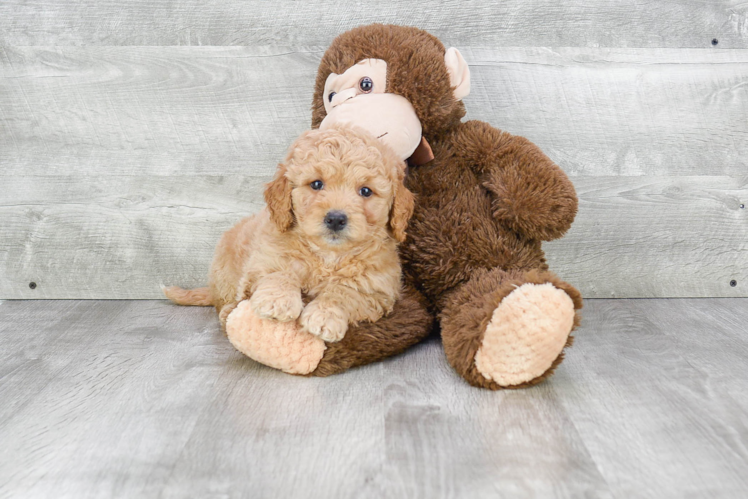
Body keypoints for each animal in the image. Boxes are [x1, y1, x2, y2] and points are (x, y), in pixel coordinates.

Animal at [163, 126, 414, 344]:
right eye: (316, 184)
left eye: (365, 191)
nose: (335, 218)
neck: (328, 256)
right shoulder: (262, 260)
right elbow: (279, 271)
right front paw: (277, 301)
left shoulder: (378, 291)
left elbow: (344, 292)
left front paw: (325, 315)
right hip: (224, 272)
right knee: (224, 302)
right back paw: (227, 311)